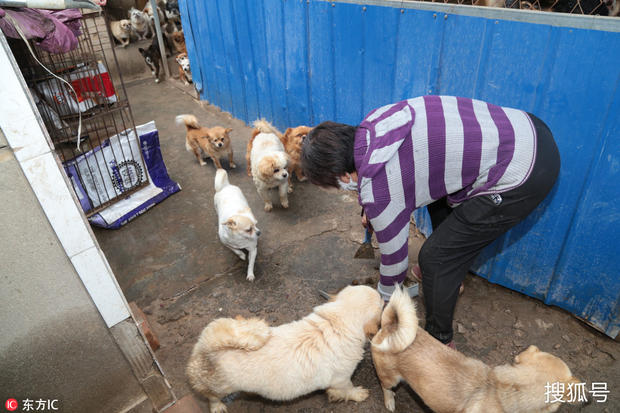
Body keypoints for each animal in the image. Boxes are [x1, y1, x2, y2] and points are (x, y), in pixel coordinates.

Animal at [186, 284, 386, 412]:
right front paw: (358, 394)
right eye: (382, 305)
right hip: (219, 387)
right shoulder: (341, 380)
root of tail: (206, 347)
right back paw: (217, 406)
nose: (386, 299)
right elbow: (348, 390)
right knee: (211, 396)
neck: (336, 323)